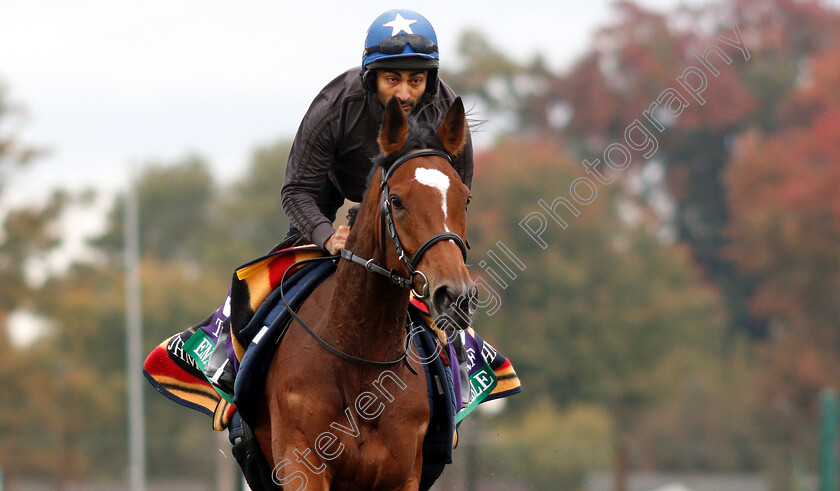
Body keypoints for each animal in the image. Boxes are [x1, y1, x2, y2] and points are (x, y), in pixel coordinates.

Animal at [253, 97, 476, 491]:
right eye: (397, 201)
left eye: (463, 199)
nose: (455, 295)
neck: (359, 359)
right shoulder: (301, 462)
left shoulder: (402, 472)